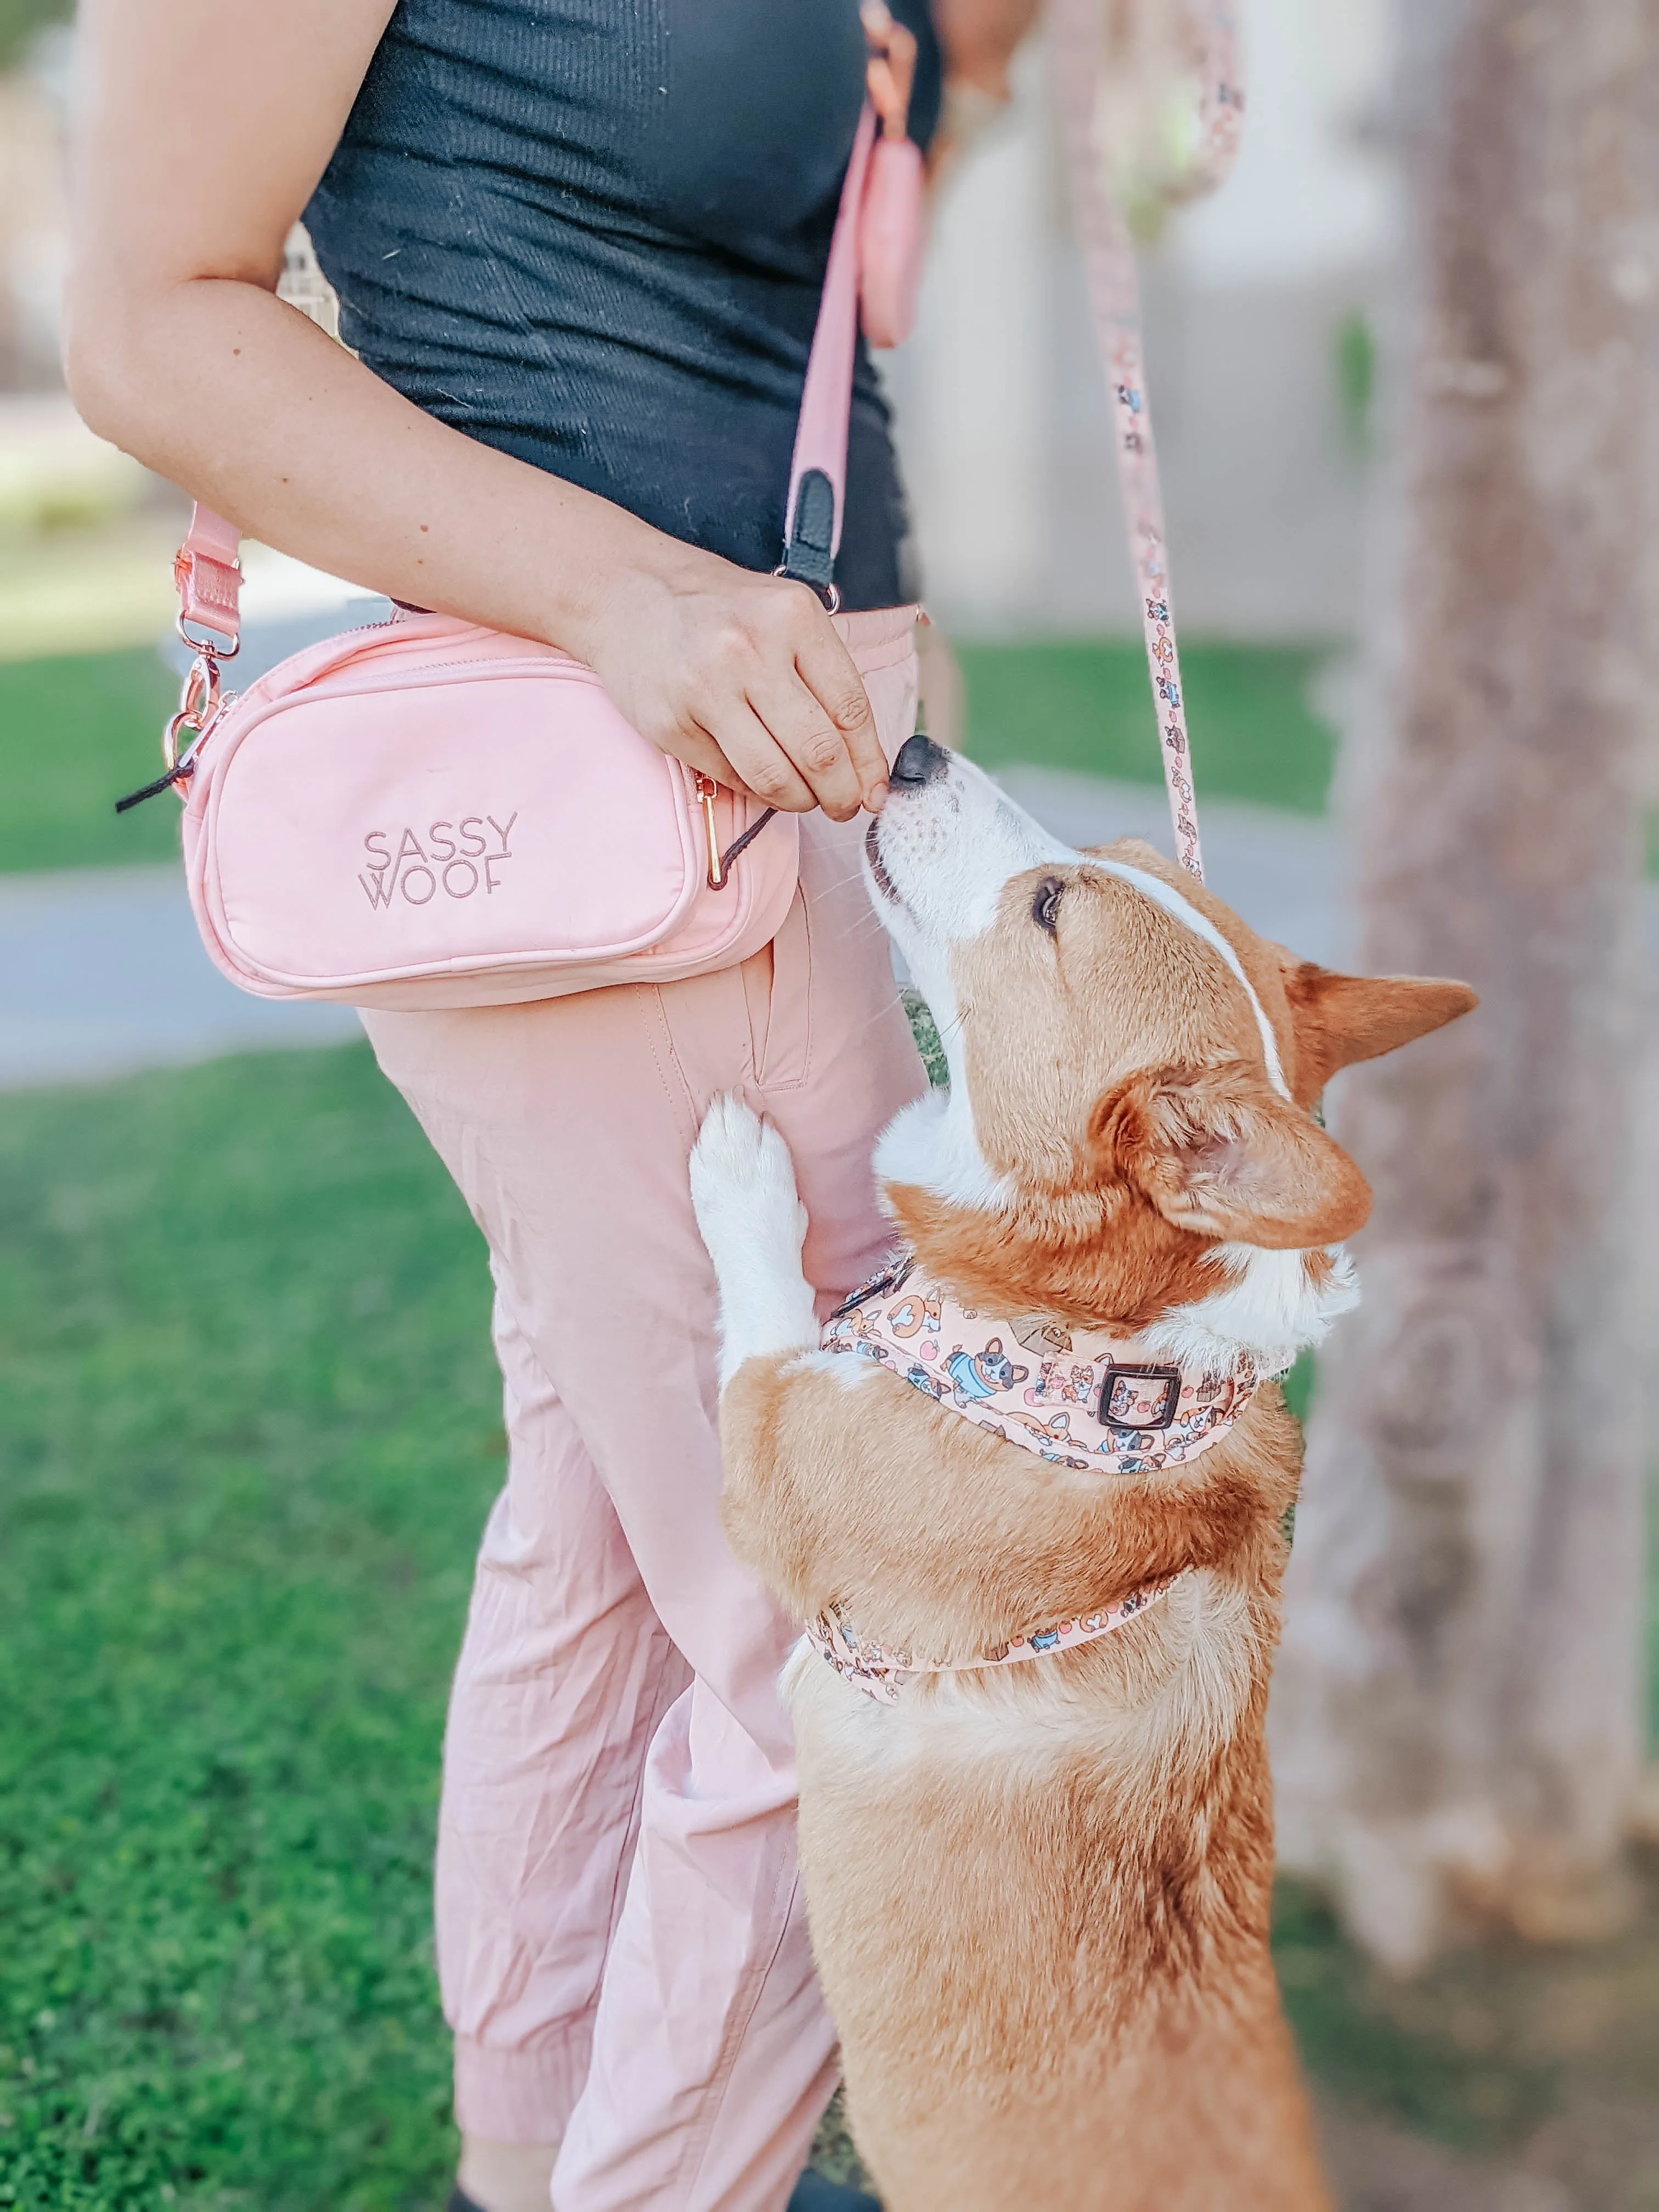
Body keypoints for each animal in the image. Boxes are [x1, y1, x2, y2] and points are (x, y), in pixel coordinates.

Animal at [690, 743, 1477, 2212]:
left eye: (1052, 906)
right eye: (1104, 855)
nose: (913, 750)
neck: (1092, 1374)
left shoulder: (772, 1453)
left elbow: (759, 1314)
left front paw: (739, 1168)